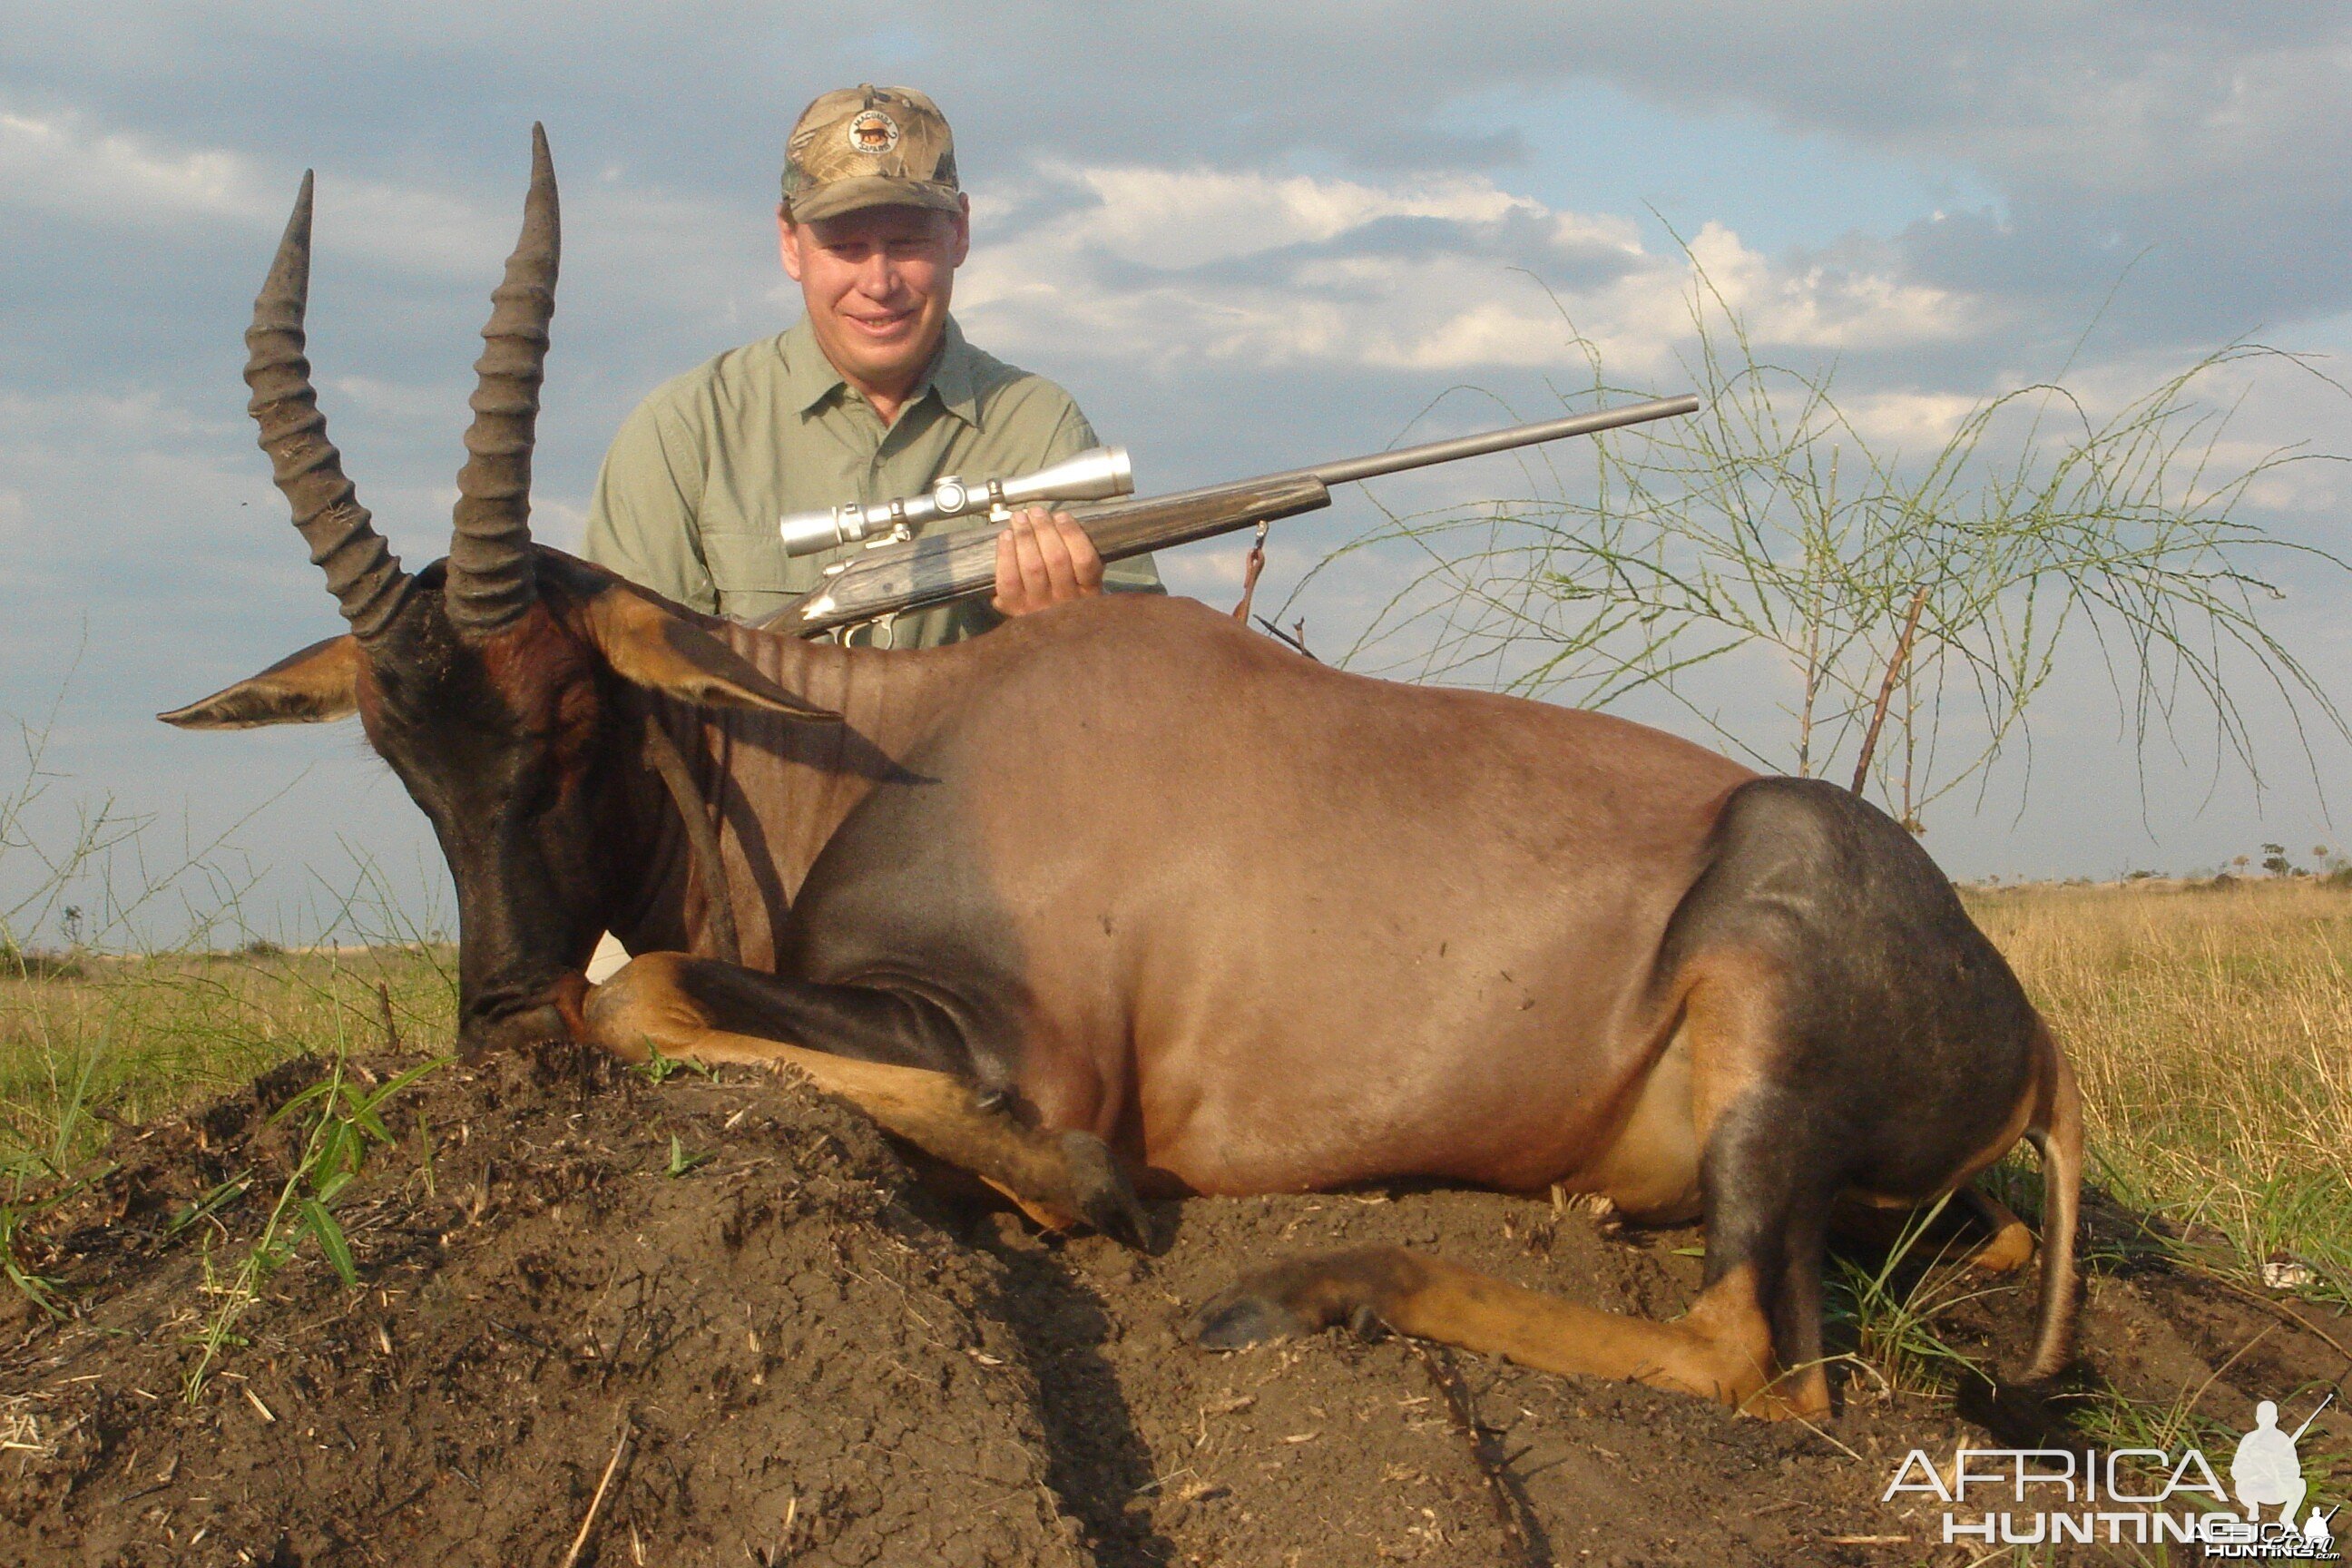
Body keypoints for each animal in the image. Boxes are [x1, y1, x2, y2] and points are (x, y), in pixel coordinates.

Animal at [165, 132, 2079, 1419]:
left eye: (570, 715)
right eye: (397, 752)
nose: (497, 1024)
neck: (903, 740)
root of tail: (2029, 1037)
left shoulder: (1017, 1040)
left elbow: (657, 1002)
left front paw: (1083, 1187)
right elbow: (649, 998)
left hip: (1764, 1009)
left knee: (1756, 1357)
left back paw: (1298, 1285)